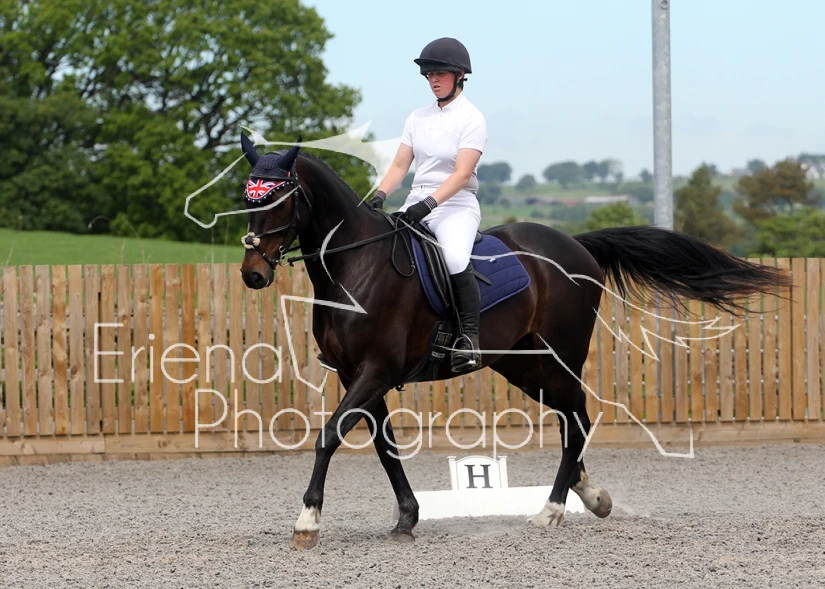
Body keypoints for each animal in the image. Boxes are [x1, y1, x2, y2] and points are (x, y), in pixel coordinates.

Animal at [237, 136, 791, 549]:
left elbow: (329, 436)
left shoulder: (376, 371)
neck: (356, 266)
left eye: (280, 198)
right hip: (524, 365)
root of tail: (575, 245)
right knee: (572, 415)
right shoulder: (360, 376)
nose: (253, 274)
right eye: (248, 198)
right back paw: (590, 497)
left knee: (576, 418)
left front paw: (307, 522)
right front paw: (407, 519)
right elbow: (385, 447)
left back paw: (551, 511)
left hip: (558, 355)